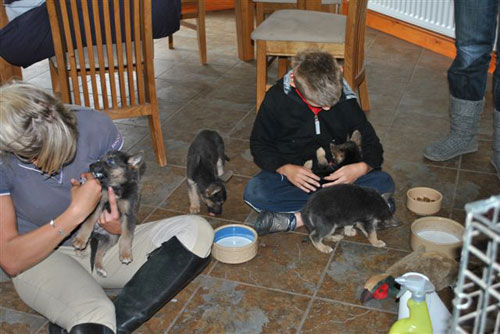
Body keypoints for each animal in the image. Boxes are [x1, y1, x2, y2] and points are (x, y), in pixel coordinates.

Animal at [72, 150, 146, 278]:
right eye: (100, 158)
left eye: (111, 161)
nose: (90, 165)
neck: (116, 186)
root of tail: (98, 234)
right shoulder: (97, 204)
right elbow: (88, 222)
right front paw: (80, 240)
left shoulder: (129, 213)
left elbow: (127, 235)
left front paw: (125, 254)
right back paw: (80, 248)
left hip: (111, 238)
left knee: (99, 252)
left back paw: (100, 268)